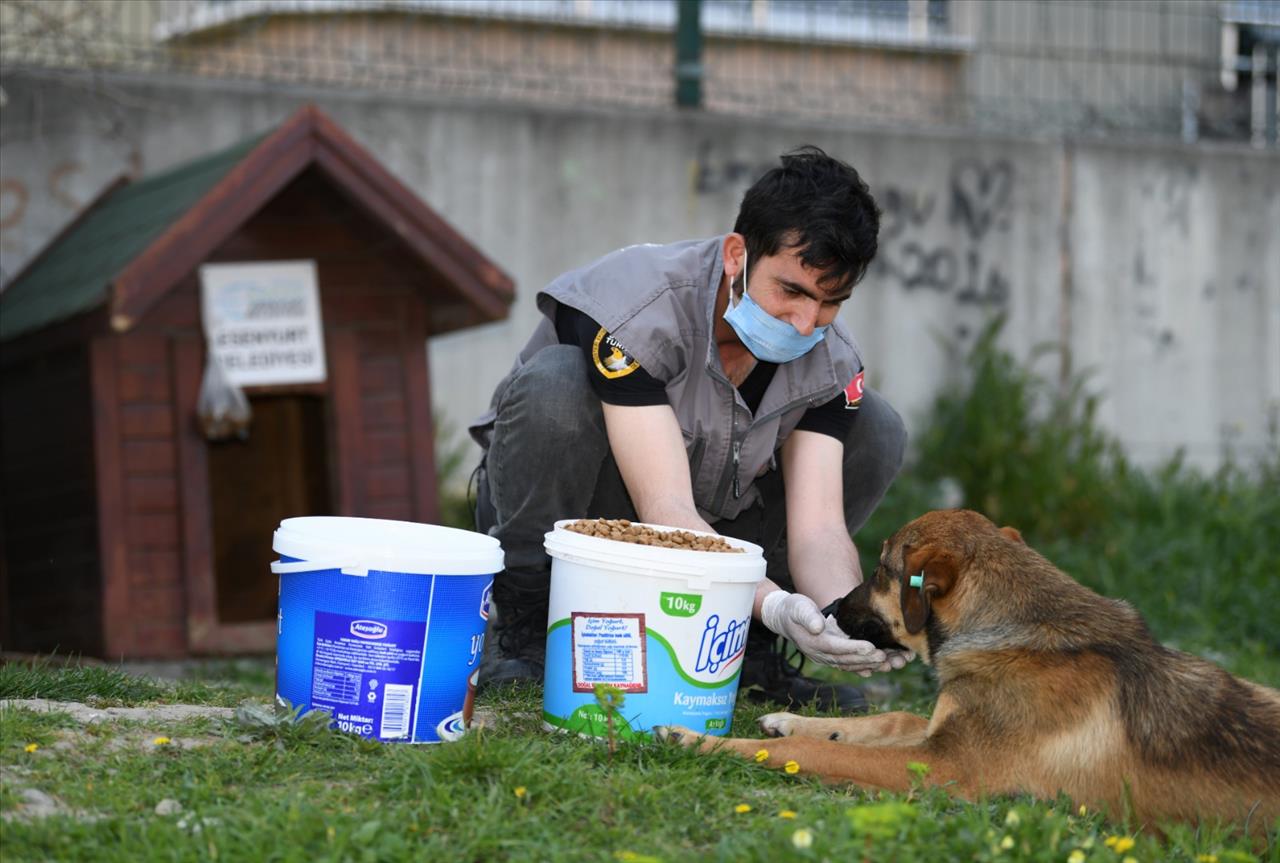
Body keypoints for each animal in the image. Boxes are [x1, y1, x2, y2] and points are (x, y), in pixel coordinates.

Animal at [660, 507, 1280, 834]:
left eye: (881, 570)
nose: (829, 609)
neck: (1021, 633)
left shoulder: (946, 768)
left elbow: (816, 753)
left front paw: (700, 741)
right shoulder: (943, 731)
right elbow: (890, 718)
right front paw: (791, 721)